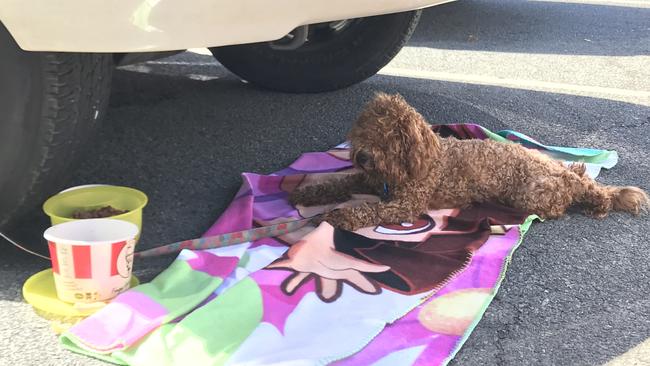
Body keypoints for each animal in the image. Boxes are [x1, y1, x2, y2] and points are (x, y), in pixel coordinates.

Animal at [290, 93, 648, 230]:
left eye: (390, 138)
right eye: (364, 129)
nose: (362, 156)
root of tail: (560, 173)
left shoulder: (405, 205)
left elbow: (370, 209)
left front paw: (340, 216)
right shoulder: (366, 178)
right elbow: (338, 182)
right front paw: (306, 193)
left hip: (533, 194)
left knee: (566, 199)